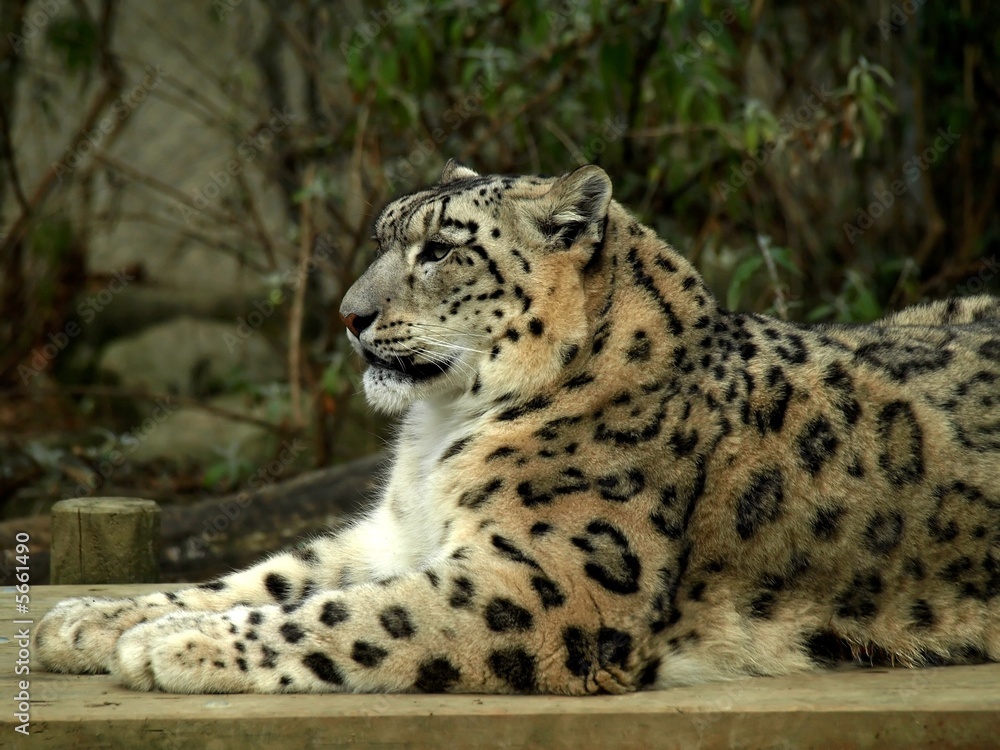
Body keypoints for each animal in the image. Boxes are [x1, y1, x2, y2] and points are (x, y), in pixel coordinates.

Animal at [36, 160, 1000, 694]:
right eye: (385, 238)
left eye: (439, 250)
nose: (349, 316)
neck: (436, 437)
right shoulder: (394, 536)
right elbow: (270, 577)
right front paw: (90, 620)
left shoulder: (545, 580)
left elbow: (351, 615)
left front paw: (171, 644)